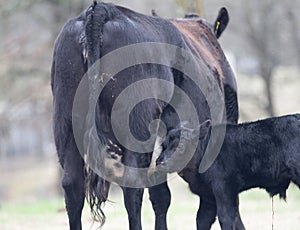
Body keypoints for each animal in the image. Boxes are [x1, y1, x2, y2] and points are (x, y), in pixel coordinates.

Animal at [156, 114, 300, 229]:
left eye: (180, 146)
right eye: (163, 146)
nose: (160, 163)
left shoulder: (224, 189)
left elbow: (226, 218)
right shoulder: (208, 196)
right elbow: (203, 220)